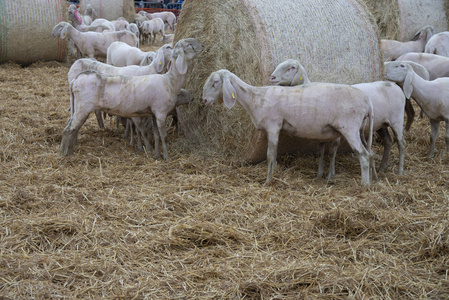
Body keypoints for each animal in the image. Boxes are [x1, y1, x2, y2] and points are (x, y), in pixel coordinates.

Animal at [61, 39, 203, 161]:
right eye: (188, 45)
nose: (202, 46)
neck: (170, 81)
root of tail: (76, 79)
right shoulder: (161, 112)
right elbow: (163, 136)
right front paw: (166, 157)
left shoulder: (153, 113)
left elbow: (156, 135)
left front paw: (156, 155)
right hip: (83, 107)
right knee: (68, 130)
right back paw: (65, 153)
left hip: (79, 107)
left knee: (71, 127)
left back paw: (70, 149)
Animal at [201, 70, 372, 188]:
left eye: (215, 82)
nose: (204, 100)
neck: (255, 97)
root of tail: (366, 101)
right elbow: (274, 155)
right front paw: (273, 175)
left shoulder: (273, 126)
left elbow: (270, 156)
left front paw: (267, 181)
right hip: (360, 130)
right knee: (369, 153)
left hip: (350, 127)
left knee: (363, 155)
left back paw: (364, 185)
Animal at [270, 59, 406, 176]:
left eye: (292, 67)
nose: (272, 77)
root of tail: (394, 85)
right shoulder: (320, 130)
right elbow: (320, 150)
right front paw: (320, 173)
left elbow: (332, 151)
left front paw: (331, 174)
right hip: (381, 124)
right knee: (388, 141)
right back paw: (382, 167)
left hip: (397, 120)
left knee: (401, 143)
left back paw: (400, 171)